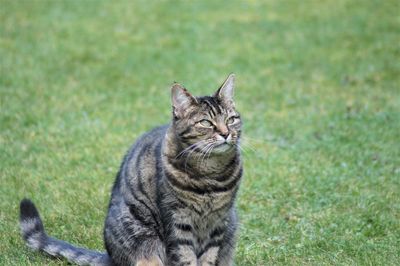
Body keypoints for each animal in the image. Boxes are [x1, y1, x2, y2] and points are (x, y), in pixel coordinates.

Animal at [20, 73, 244, 266]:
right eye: (205, 123)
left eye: (231, 119)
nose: (226, 133)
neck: (211, 175)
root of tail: (111, 258)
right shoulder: (177, 222)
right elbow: (185, 258)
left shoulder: (218, 223)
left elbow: (209, 257)